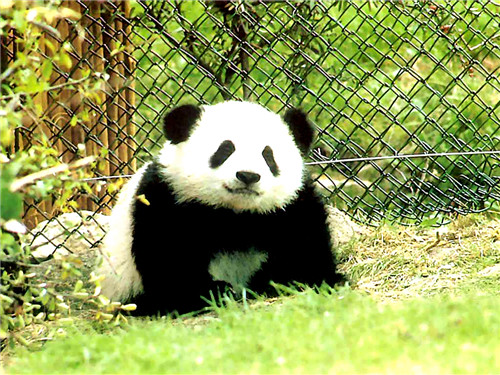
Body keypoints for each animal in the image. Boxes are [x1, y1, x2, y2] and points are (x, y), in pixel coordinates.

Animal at [99, 101, 346, 316]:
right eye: (225, 150)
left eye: (268, 155)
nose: (248, 175)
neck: (235, 214)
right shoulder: (166, 199)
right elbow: (169, 258)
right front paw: (211, 293)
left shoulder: (291, 207)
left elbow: (304, 247)